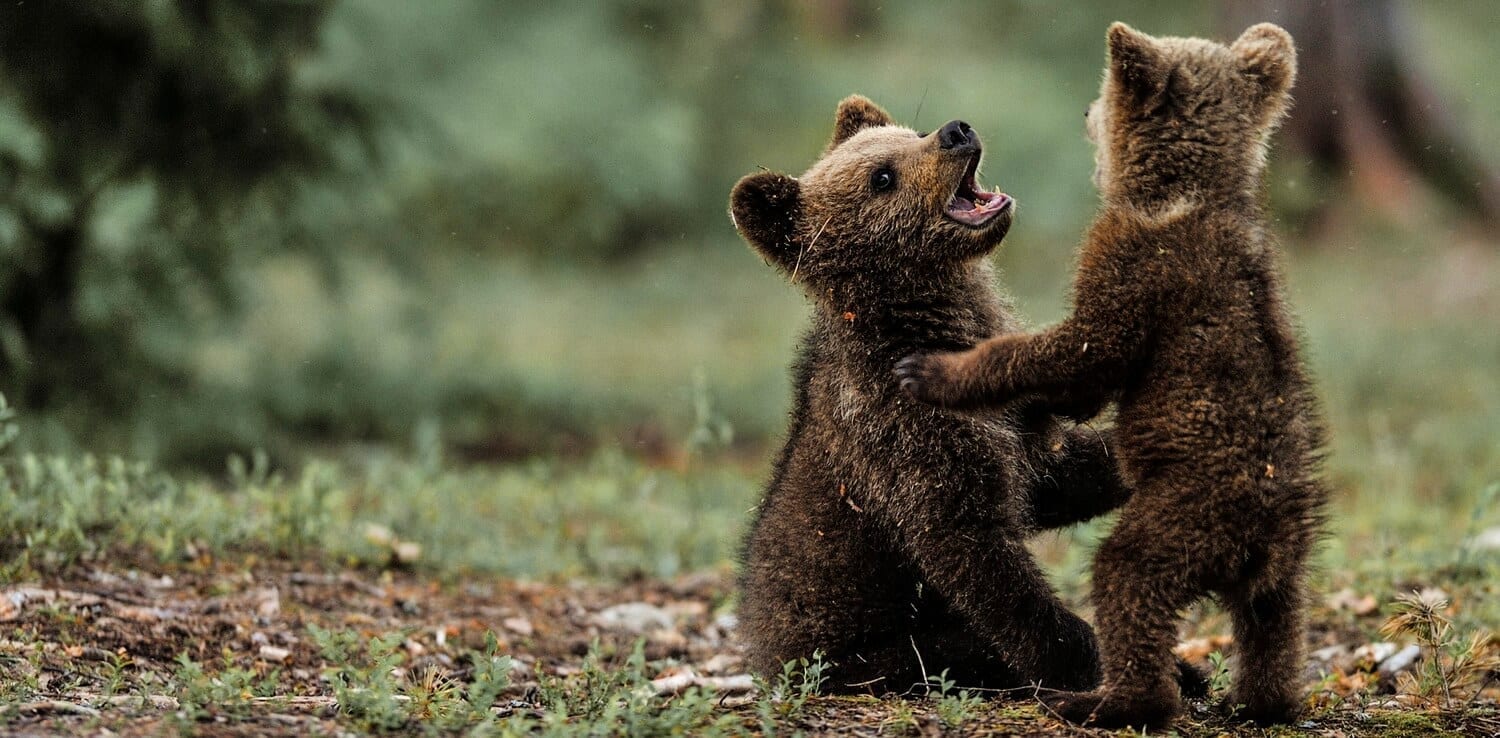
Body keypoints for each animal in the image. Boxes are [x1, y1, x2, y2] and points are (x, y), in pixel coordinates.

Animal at [729, 95, 1138, 695]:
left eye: (911, 131)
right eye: (882, 177)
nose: (955, 131)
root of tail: (763, 659)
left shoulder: (1013, 424)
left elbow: (1054, 475)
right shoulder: (904, 438)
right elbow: (976, 553)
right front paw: (1088, 660)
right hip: (870, 652)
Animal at [895, 23, 1328, 728]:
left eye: (1101, 97)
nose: (1085, 112)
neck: (1185, 191)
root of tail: (1259, 542)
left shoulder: (1132, 263)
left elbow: (1086, 349)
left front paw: (931, 369)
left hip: (1184, 514)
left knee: (1129, 579)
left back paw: (1106, 699)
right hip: (1290, 559)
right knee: (1275, 623)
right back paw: (1260, 702)